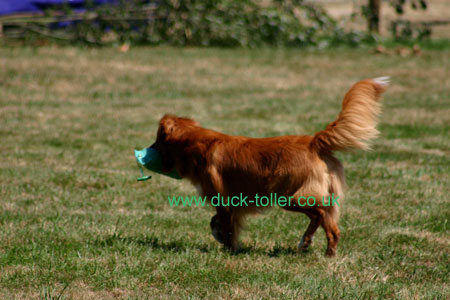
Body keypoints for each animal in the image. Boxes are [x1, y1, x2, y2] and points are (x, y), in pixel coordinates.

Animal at [150, 77, 386, 255]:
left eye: (157, 141)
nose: (146, 150)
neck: (199, 144)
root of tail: (313, 142)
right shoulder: (232, 204)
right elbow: (217, 222)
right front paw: (221, 238)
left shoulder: (223, 200)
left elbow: (225, 226)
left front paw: (229, 250)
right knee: (333, 229)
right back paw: (328, 255)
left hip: (290, 197)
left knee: (318, 213)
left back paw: (305, 241)